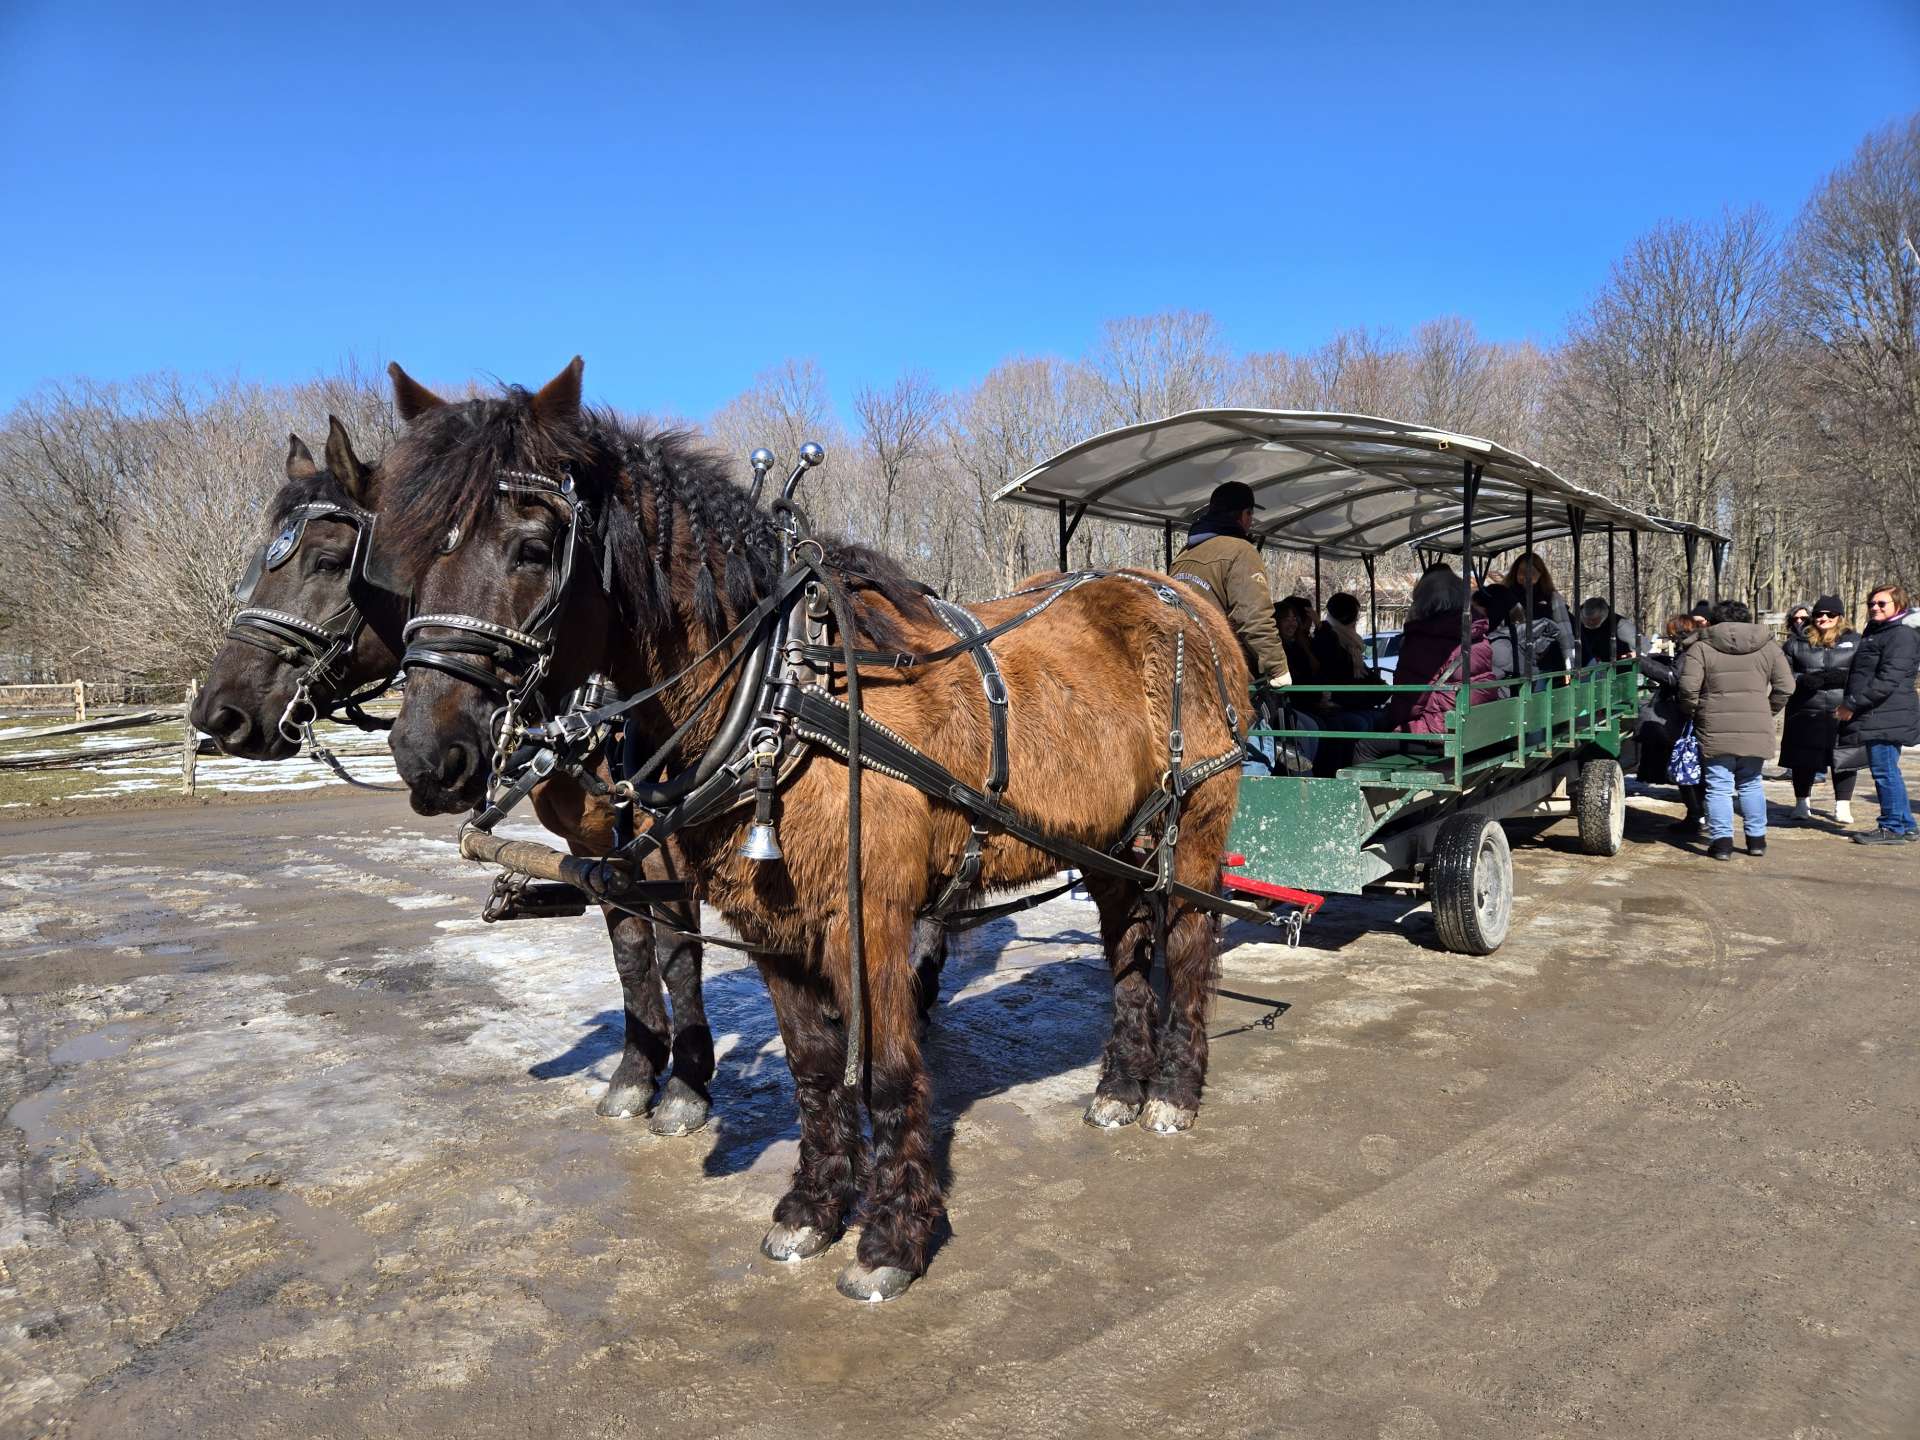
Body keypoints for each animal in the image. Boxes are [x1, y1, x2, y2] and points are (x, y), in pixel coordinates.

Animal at [196, 410, 721, 1136]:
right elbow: (632, 954)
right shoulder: (596, 849)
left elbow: (676, 951)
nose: (219, 713)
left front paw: (688, 1087)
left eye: (328, 561)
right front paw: (636, 1075)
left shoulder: (661, 844)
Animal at [378, 360, 1244, 1305]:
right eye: (407, 554)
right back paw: (1120, 1086)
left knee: (1187, 947)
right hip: (1118, 844)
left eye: (534, 548)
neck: (779, 692)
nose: (424, 753)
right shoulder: (772, 927)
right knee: (1126, 945)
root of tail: (1179, 593)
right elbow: (815, 1068)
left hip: (1195, 829)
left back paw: (1173, 1092)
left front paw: (892, 1238)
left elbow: (891, 1071)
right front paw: (812, 1209)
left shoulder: (873, 916)